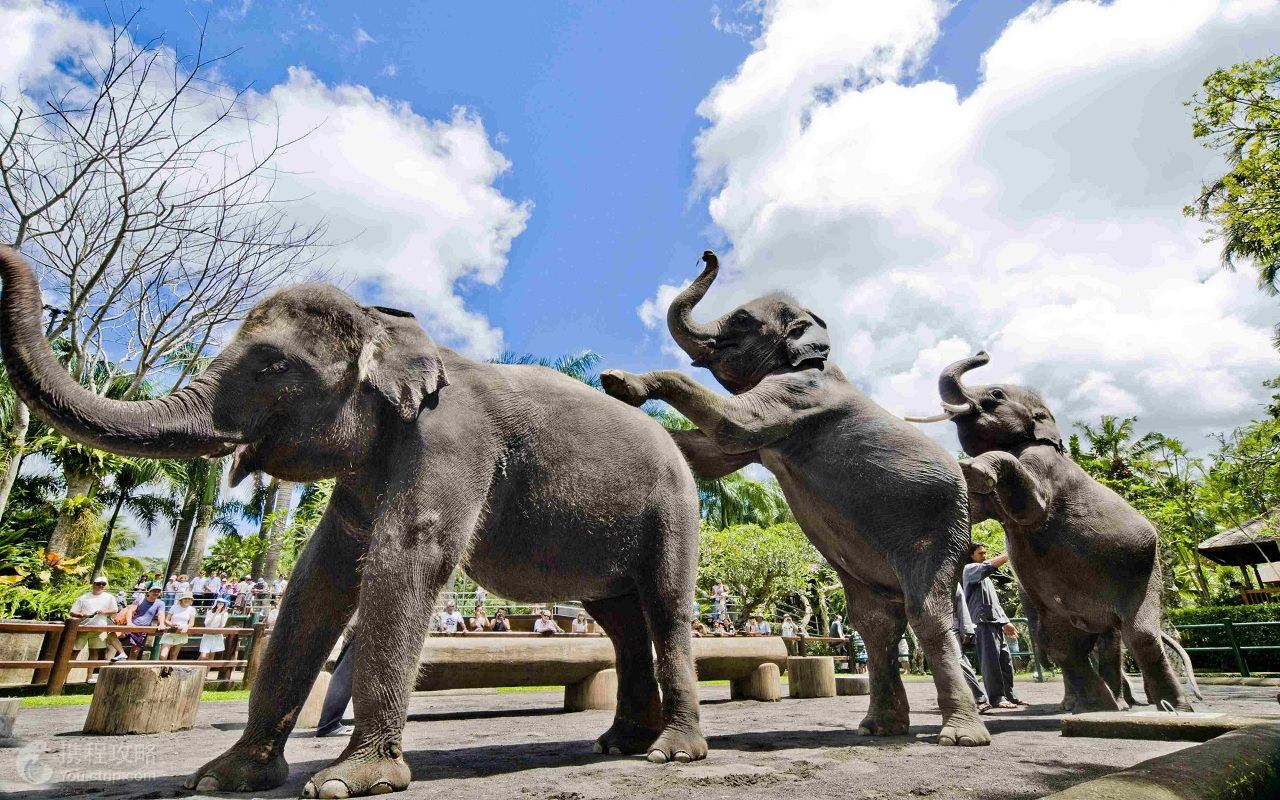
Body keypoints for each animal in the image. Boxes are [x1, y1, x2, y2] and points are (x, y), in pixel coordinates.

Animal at [0, 247, 711, 793]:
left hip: (675, 508)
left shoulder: (451, 441)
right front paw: (221, 779)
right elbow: (319, 577)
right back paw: (619, 743)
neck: (388, 331)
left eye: (273, 366)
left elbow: (407, 560)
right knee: (619, 619)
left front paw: (348, 783)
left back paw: (671, 752)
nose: (11, 257)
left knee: (664, 606)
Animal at [601, 250, 988, 747]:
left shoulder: (800, 395)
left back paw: (959, 736)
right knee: (875, 623)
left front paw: (619, 384)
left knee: (927, 616)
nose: (706, 254)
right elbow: (709, 456)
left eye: (742, 319)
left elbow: (735, 425)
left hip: (937, 527)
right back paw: (878, 728)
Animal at [911, 350, 1198, 711]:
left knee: (1139, 635)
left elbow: (1030, 506)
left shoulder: (1044, 463)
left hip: (1145, 574)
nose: (982, 353)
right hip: (1061, 608)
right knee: (1063, 644)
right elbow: (974, 510)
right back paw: (1095, 706)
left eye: (996, 395)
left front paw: (971, 468)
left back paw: (1170, 708)